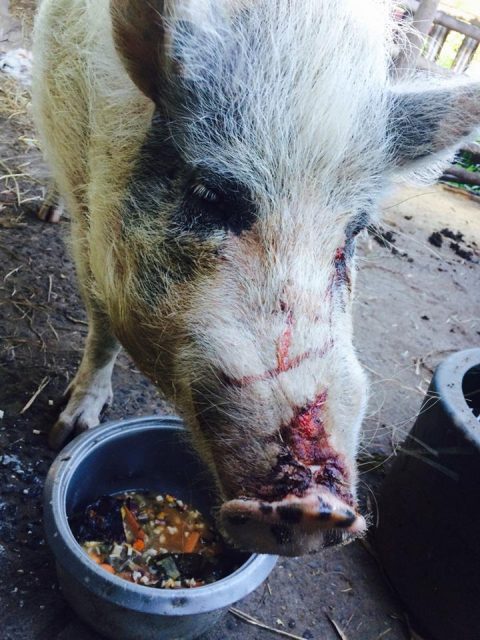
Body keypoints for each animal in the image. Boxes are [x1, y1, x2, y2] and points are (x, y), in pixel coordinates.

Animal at [31, 0, 480, 556]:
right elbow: (101, 322)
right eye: (208, 194)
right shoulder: (88, 193)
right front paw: (67, 431)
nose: (317, 508)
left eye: (356, 231)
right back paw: (46, 212)